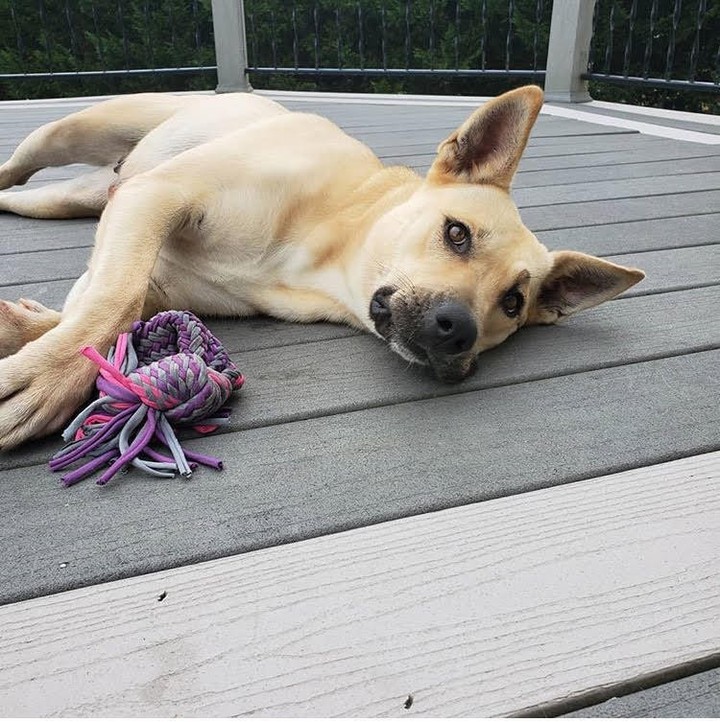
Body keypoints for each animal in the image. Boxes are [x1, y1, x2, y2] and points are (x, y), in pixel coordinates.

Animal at [0, 86, 640, 450]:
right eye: (457, 233)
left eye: (513, 302)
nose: (458, 329)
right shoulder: (155, 197)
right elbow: (113, 298)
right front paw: (47, 378)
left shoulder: (149, 252)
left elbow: (106, 303)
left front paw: (25, 329)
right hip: (67, 136)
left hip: (69, 198)